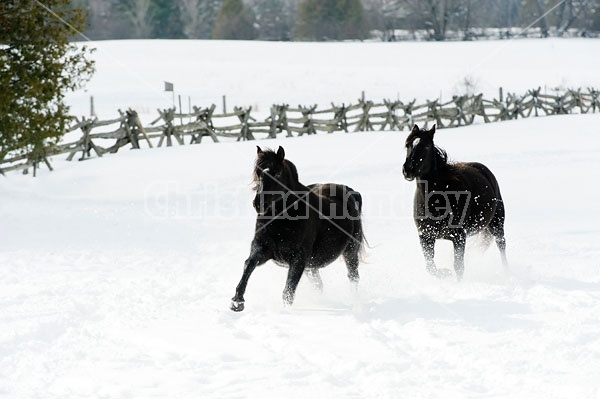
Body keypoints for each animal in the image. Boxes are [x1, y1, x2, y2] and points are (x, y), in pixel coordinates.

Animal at [231, 147, 366, 312]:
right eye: (258, 172)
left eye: (277, 173)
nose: (259, 204)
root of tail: (351, 192)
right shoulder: (262, 248)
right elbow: (249, 264)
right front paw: (237, 301)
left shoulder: (298, 259)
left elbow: (288, 290)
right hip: (311, 267)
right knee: (320, 285)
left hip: (350, 251)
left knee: (353, 277)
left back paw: (355, 302)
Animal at [404, 123, 506, 280]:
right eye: (407, 145)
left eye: (426, 146)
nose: (408, 169)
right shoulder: (425, 236)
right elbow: (430, 267)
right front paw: (444, 273)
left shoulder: (459, 236)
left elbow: (458, 267)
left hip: (497, 223)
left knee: (501, 244)